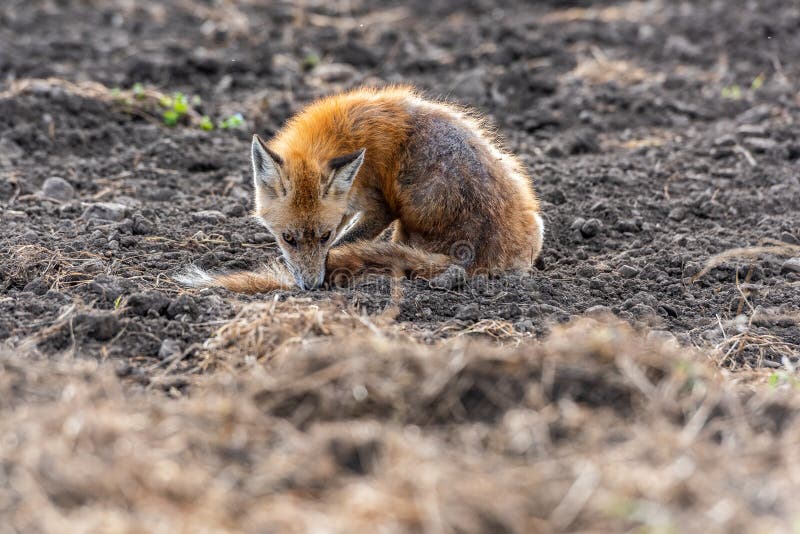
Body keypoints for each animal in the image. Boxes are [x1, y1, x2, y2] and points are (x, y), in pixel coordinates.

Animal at [178, 85, 544, 292]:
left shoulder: (379, 208)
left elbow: (344, 243)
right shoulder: (345, 208)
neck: (340, 136)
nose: (311, 287)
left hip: (405, 226)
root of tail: (476, 257)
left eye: (322, 236)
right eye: (288, 238)